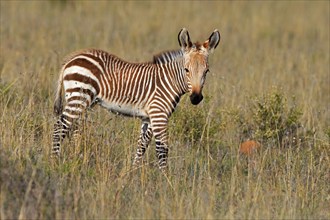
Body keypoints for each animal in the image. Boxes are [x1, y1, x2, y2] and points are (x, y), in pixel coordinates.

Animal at [52, 28, 220, 170]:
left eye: (206, 71)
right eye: (186, 70)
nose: (196, 98)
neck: (169, 81)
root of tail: (71, 59)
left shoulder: (148, 117)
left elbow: (142, 145)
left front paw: (132, 173)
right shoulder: (158, 114)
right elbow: (162, 149)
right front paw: (165, 180)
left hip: (82, 100)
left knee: (73, 128)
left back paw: (77, 158)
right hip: (78, 97)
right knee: (60, 126)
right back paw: (55, 162)